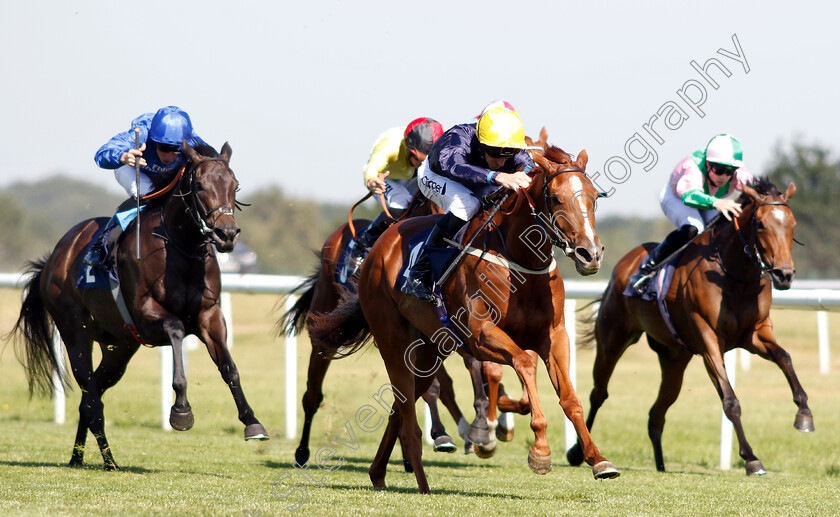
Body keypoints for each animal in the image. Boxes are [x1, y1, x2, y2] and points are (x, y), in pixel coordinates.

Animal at [10, 140, 270, 468]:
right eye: (199, 185)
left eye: (235, 186)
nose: (227, 234)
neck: (180, 249)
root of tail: (54, 258)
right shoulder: (146, 314)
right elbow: (175, 329)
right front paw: (181, 411)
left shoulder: (209, 315)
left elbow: (229, 367)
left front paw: (252, 422)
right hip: (75, 333)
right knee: (90, 396)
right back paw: (109, 461)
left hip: (119, 347)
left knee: (91, 395)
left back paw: (79, 457)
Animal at [278, 192, 482, 468]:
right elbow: (433, 386)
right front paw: (444, 434)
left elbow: (468, 365)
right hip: (326, 327)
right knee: (313, 395)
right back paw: (301, 452)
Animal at [308, 145, 616, 492]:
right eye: (555, 197)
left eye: (593, 196)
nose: (590, 254)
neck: (519, 261)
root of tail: (379, 246)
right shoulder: (480, 336)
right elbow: (524, 363)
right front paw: (538, 449)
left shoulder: (554, 336)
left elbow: (569, 397)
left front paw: (597, 459)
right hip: (393, 343)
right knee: (408, 419)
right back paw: (423, 483)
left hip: (429, 350)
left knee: (400, 408)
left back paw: (378, 473)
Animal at [564, 177, 812, 476]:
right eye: (761, 224)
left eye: (793, 224)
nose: (784, 274)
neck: (734, 274)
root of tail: (623, 265)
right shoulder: (708, 340)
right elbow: (730, 400)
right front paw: (752, 459)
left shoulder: (755, 334)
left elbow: (785, 358)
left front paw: (804, 415)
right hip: (613, 340)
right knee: (598, 393)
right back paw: (578, 452)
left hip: (674, 360)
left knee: (657, 413)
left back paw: (660, 464)